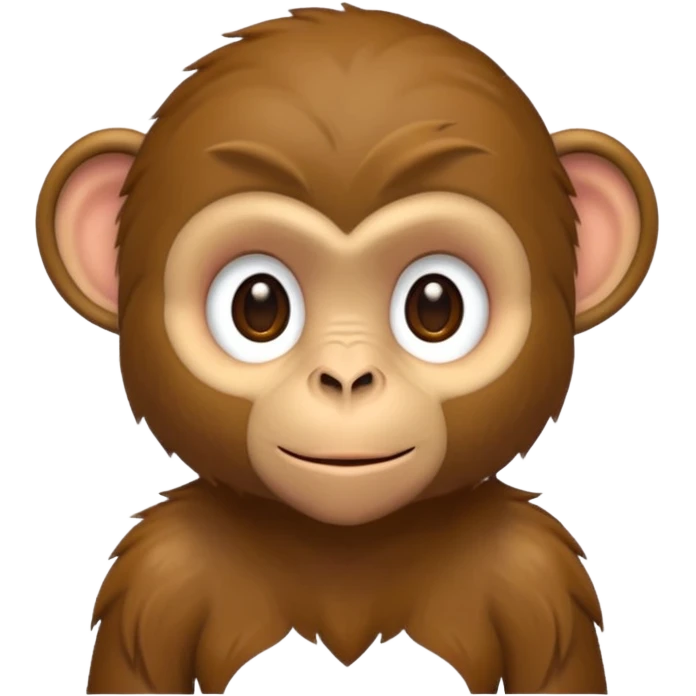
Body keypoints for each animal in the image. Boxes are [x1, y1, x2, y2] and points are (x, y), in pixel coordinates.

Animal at [34, 5, 659, 695]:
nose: (347, 376)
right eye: (258, 306)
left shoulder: (533, 568)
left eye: (435, 306)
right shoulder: (162, 571)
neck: (346, 551)